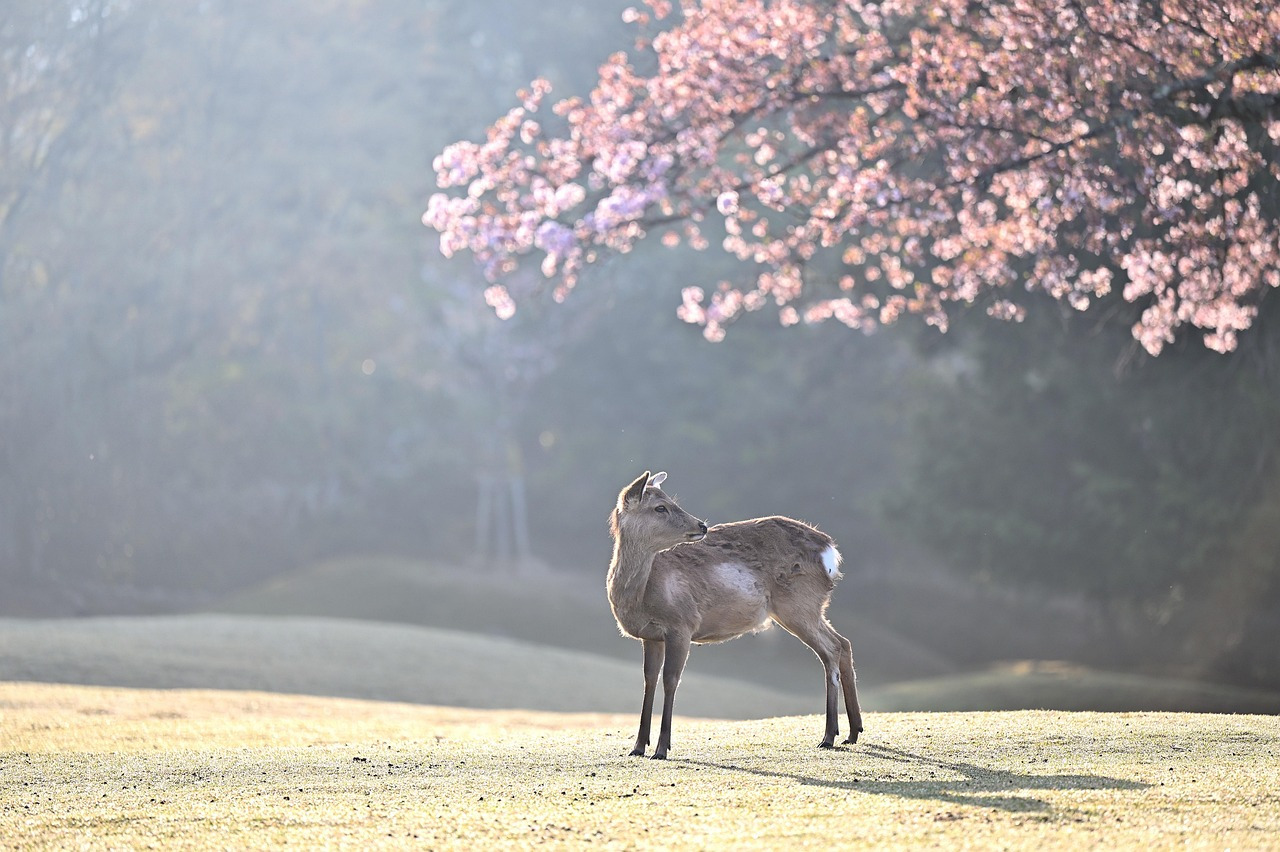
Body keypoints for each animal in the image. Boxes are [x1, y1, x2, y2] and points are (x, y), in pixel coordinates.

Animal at [606, 470, 863, 759]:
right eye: (660, 507)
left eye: (671, 501)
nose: (702, 526)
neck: (641, 596)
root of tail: (829, 551)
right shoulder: (650, 635)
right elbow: (649, 680)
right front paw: (638, 747)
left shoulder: (682, 624)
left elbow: (671, 680)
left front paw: (662, 748)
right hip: (809, 608)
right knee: (843, 643)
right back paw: (852, 733)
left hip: (799, 604)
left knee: (831, 649)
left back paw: (829, 736)